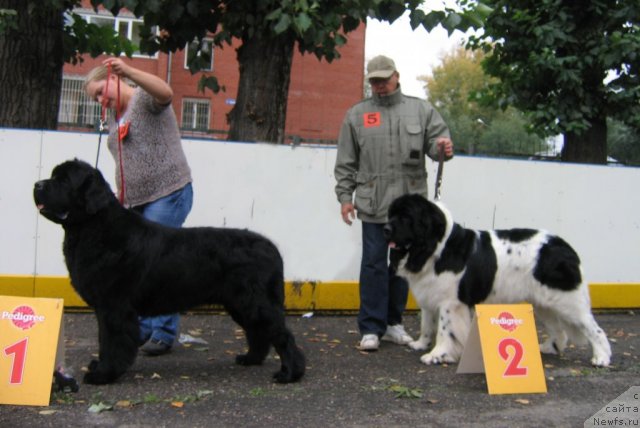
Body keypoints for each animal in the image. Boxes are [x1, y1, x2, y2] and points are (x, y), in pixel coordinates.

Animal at [33, 160, 306, 384]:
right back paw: (250, 359)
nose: (37, 184)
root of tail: (271, 247)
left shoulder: (114, 306)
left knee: (281, 333)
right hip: (239, 303)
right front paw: (99, 366)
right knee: (257, 331)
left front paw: (103, 374)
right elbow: (103, 340)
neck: (94, 228)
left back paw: (290, 373)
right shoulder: (104, 308)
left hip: (254, 300)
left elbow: (113, 341)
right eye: (53, 176)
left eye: (64, 181)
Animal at [382, 194, 612, 368]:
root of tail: (563, 246)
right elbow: (427, 324)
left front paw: (437, 354)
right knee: (558, 329)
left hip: (567, 300)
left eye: (406, 217)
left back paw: (601, 358)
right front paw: (421, 344)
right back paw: (548, 348)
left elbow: (445, 330)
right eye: (391, 214)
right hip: (543, 302)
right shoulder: (430, 294)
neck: (437, 246)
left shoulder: (450, 303)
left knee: (594, 329)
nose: (385, 229)